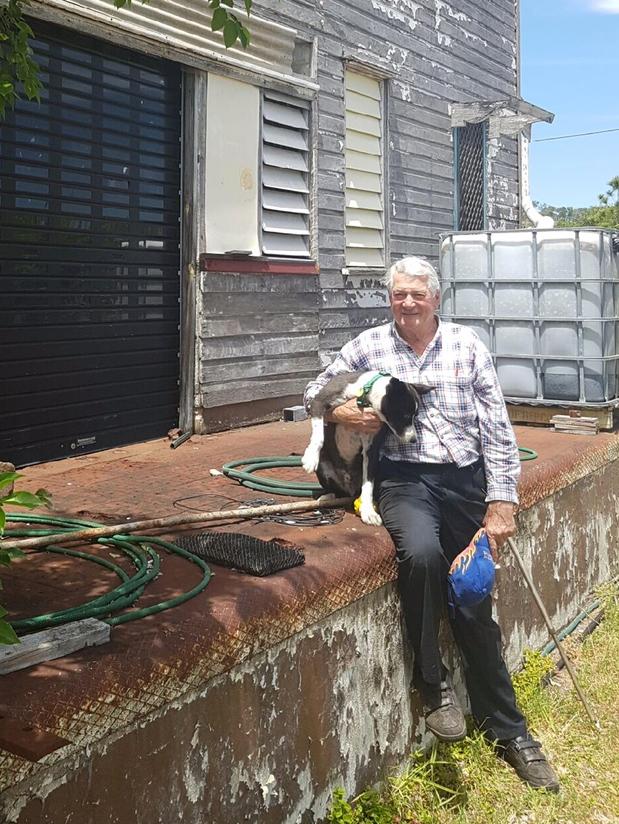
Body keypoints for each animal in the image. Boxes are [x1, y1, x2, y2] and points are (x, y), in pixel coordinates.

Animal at [302, 372, 432, 524]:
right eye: (405, 416)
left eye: (415, 416)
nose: (413, 440)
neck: (364, 395)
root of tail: (349, 488)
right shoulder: (318, 402)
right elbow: (319, 435)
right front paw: (311, 458)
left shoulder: (371, 449)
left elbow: (368, 484)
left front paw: (368, 512)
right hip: (323, 467)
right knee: (335, 491)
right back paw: (327, 497)